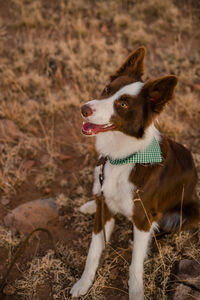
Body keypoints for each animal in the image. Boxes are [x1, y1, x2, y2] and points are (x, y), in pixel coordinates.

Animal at [69, 47, 199, 300]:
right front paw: (83, 283)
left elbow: (135, 264)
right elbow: (93, 251)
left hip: (189, 212)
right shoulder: (104, 208)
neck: (121, 157)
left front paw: (136, 291)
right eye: (107, 89)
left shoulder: (142, 218)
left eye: (123, 105)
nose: (84, 109)